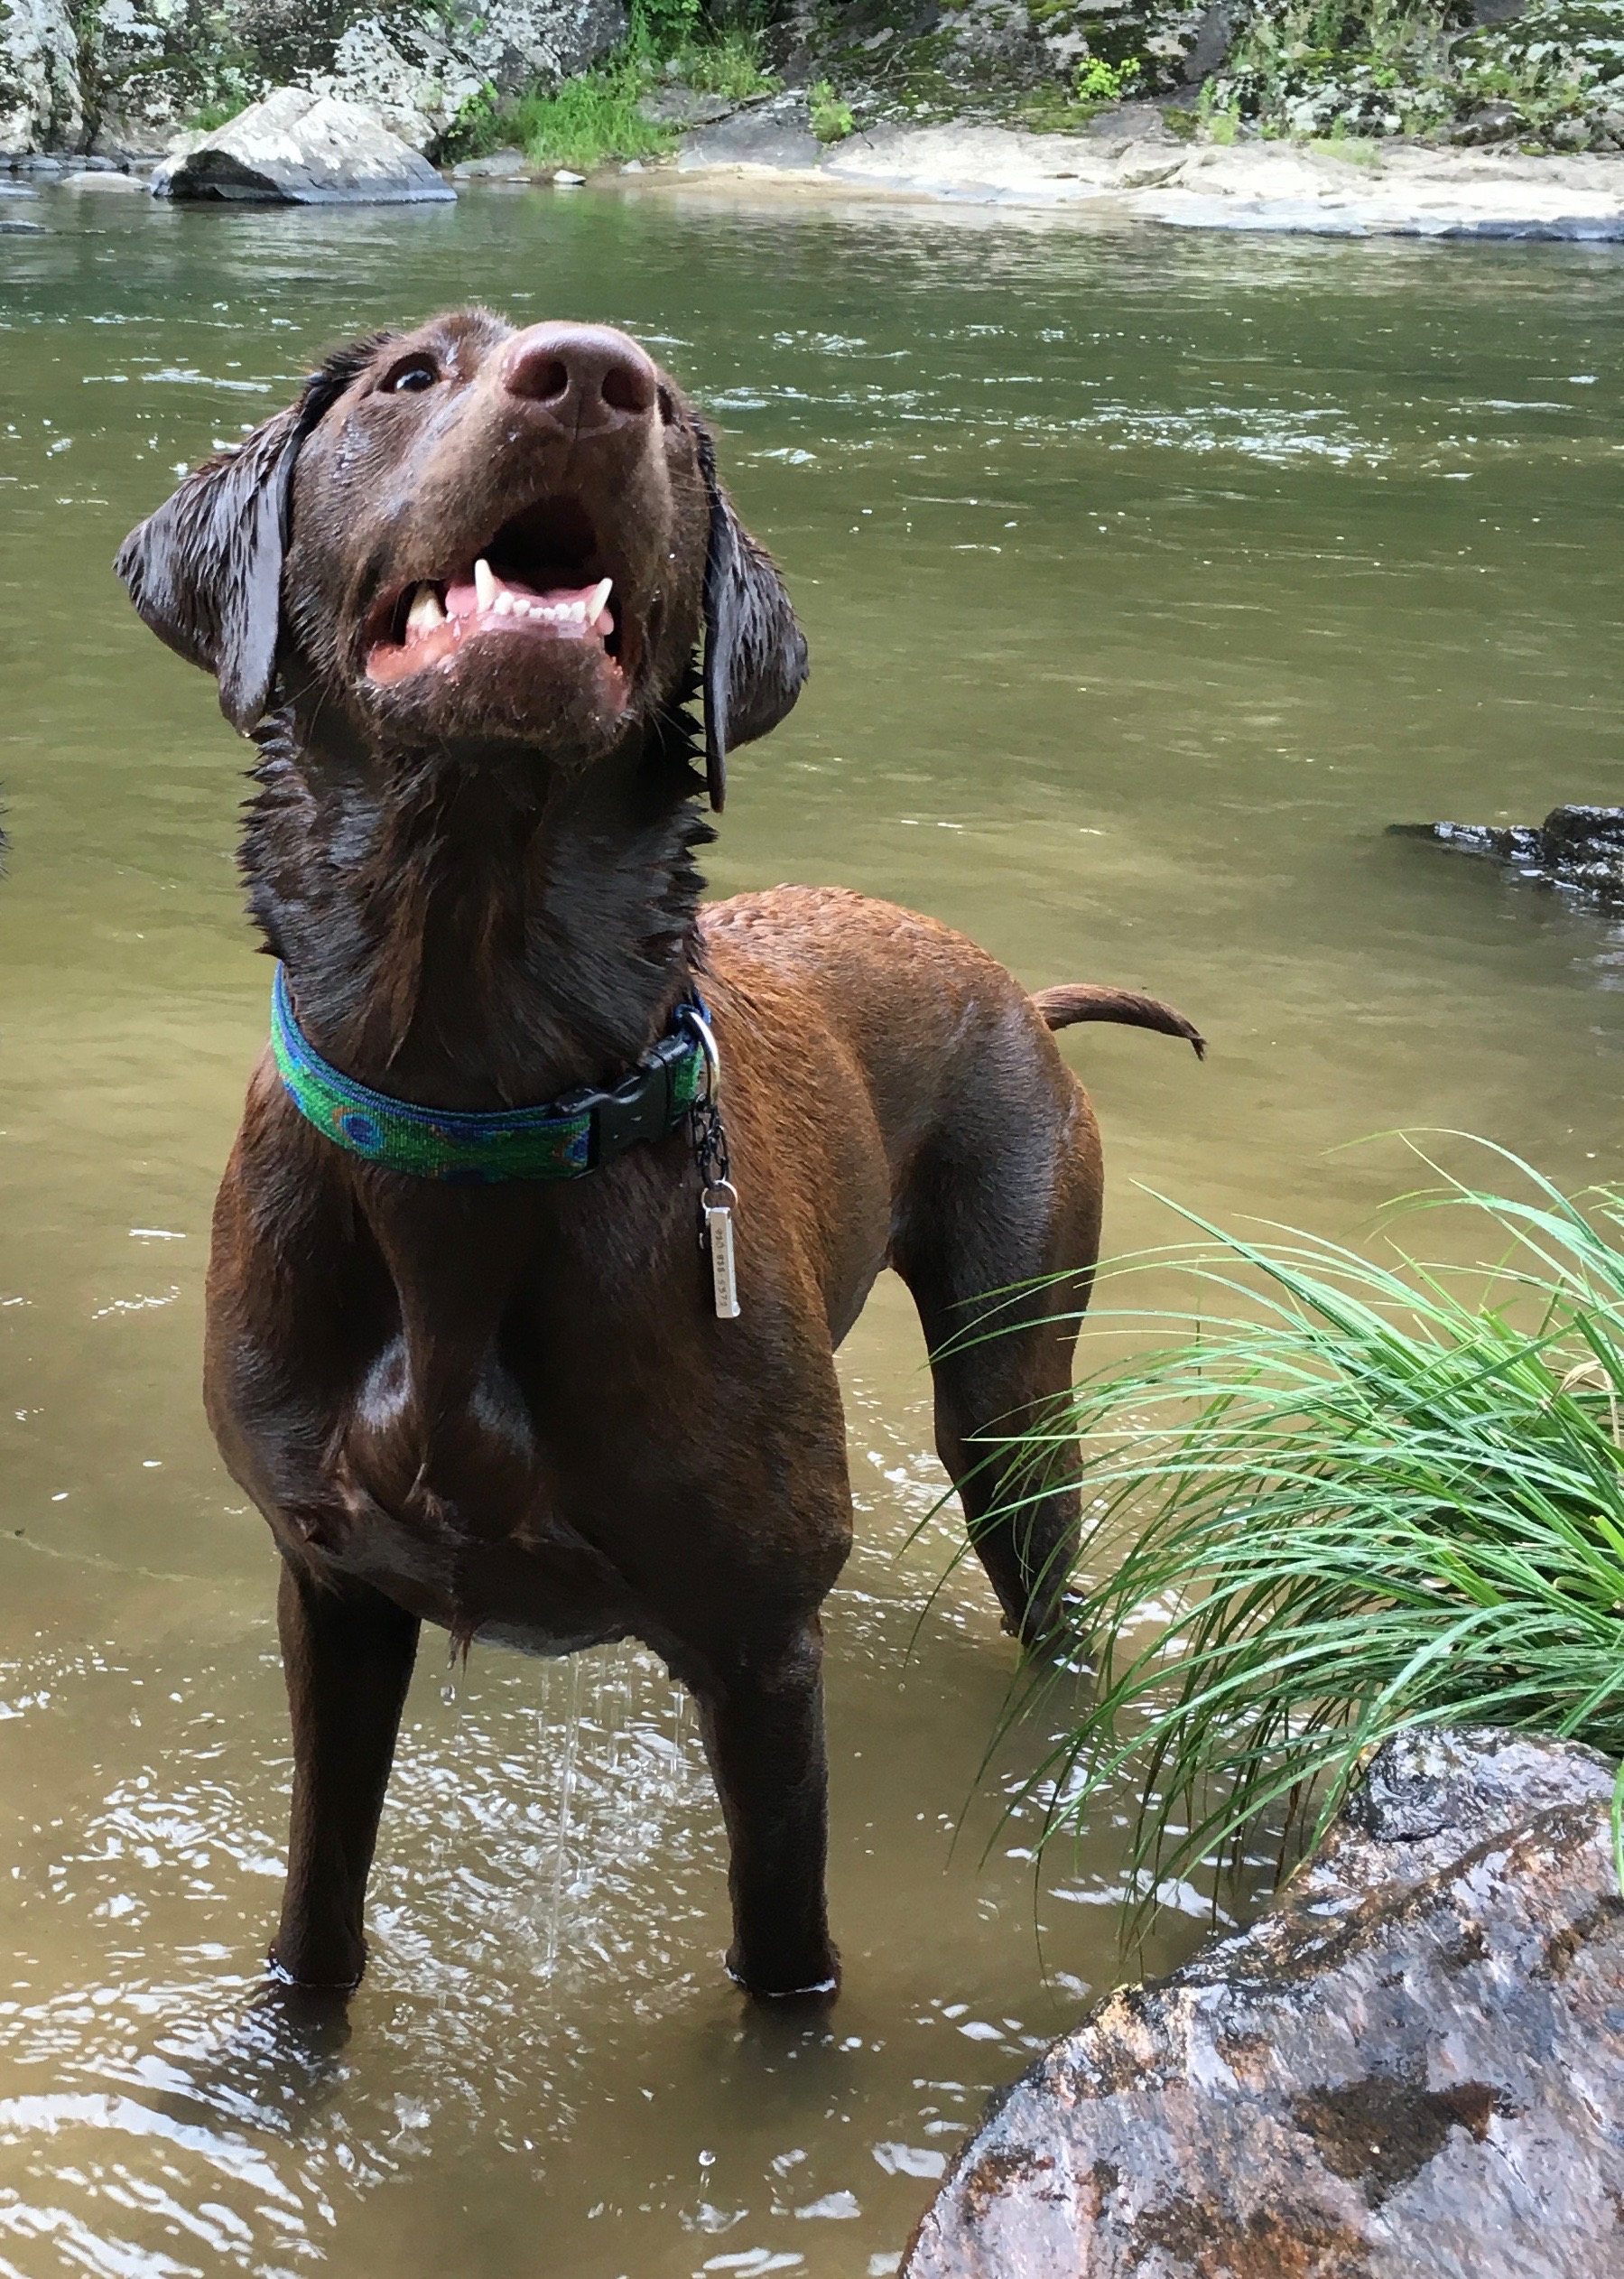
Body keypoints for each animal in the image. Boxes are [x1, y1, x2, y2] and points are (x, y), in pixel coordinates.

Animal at [114, 312, 1193, 2005]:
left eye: (674, 418)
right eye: (408, 377)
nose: (592, 374)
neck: (470, 1100)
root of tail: (1021, 991)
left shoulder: (754, 1644)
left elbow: (782, 1963)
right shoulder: (334, 1590)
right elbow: (317, 1917)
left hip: (1011, 1388)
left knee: (1050, 1591)